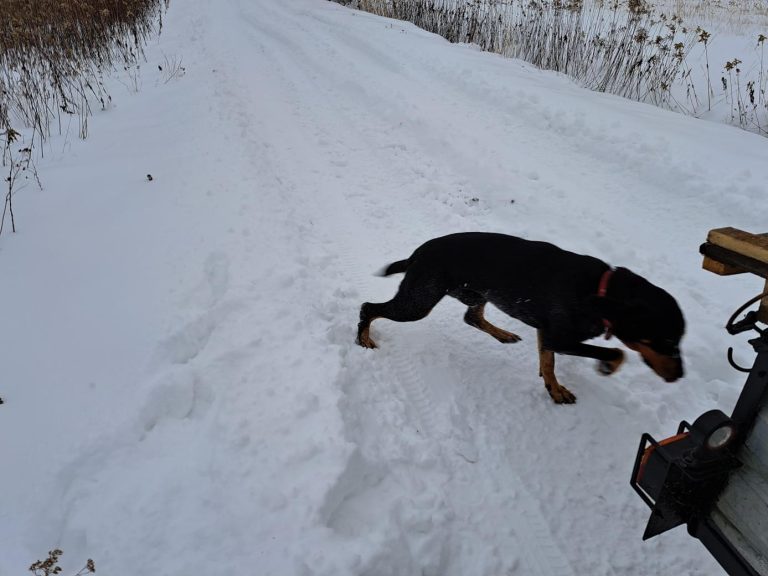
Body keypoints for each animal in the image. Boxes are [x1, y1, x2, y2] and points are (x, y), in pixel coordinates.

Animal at [354, 232, 684, 402]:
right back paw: (364, 339)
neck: (601, 290)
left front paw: (553, 387)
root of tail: (417, 253)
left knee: (472, 318)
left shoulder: (547, 333)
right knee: (368, 308)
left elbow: (547, 362)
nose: (680, 375)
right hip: (419, 301)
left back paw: (503, 333)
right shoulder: (559, 337)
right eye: (666, 341)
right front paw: (604, 367)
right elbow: (616, 352)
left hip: (476, 293)